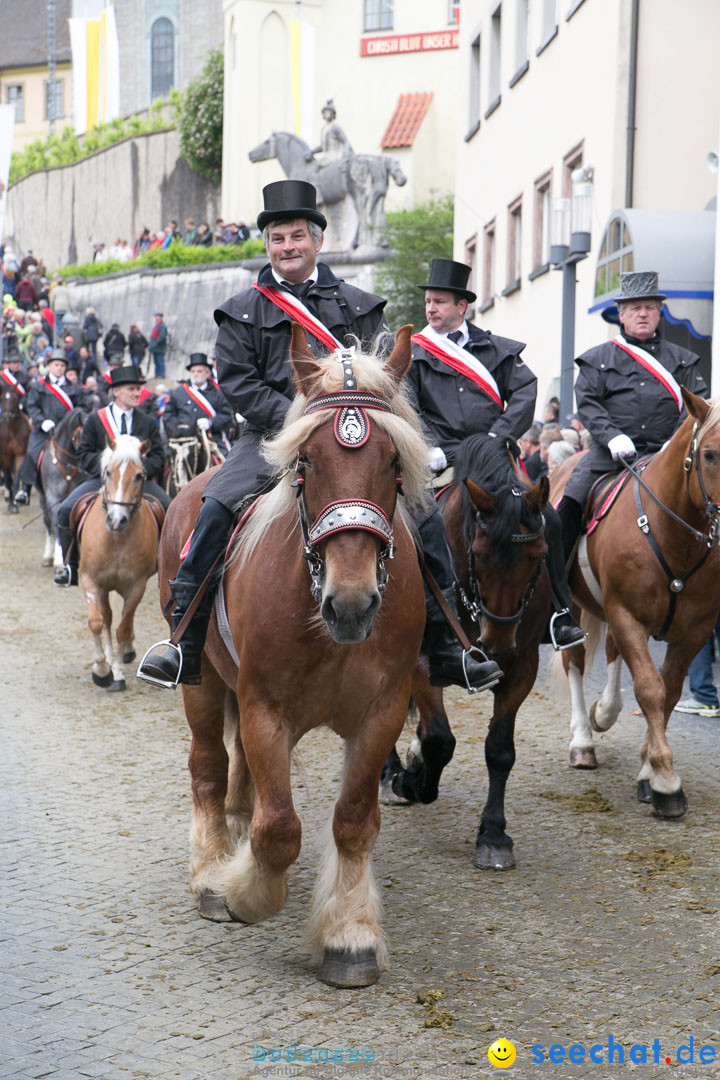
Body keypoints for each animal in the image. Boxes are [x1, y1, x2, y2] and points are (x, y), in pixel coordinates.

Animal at [79, 436, 162, 691]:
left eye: (140, 475)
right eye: (108, 472)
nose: (117, 520)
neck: (116, 539)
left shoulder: (136, 586)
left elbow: (123, 629)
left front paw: (116, 672)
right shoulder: (90, 580)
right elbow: (97, 622)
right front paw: (102, 670)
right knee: (105, 618)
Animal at [155, 321, 431, 989]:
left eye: (394, 461)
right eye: (307, 460)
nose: (351, 603)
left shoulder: (383, 713)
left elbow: (353, 820)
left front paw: (349, 936)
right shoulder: (264, 710)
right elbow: (279, 829)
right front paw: (244, 891)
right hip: (202, 684)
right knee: (208, 767)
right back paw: (212, 871)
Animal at [379, 429, 548, 868]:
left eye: (538, 556)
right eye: (481, 553)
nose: (497, 643)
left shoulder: (522, 667)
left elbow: (499, 750)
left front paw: (493, 835)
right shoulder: (420, 664)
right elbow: (440, 741)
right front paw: (411, 781)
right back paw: (390, 775)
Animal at [552, 388, 720, 816]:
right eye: (710, 454)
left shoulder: (695, 630)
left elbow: (669, 692)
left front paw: (648, 771)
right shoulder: (627, 615)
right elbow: (649, 689)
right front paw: (664, 782)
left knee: (612, 655)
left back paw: (604, 712)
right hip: (576, 605)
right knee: (575, 661)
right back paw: (583, 739)